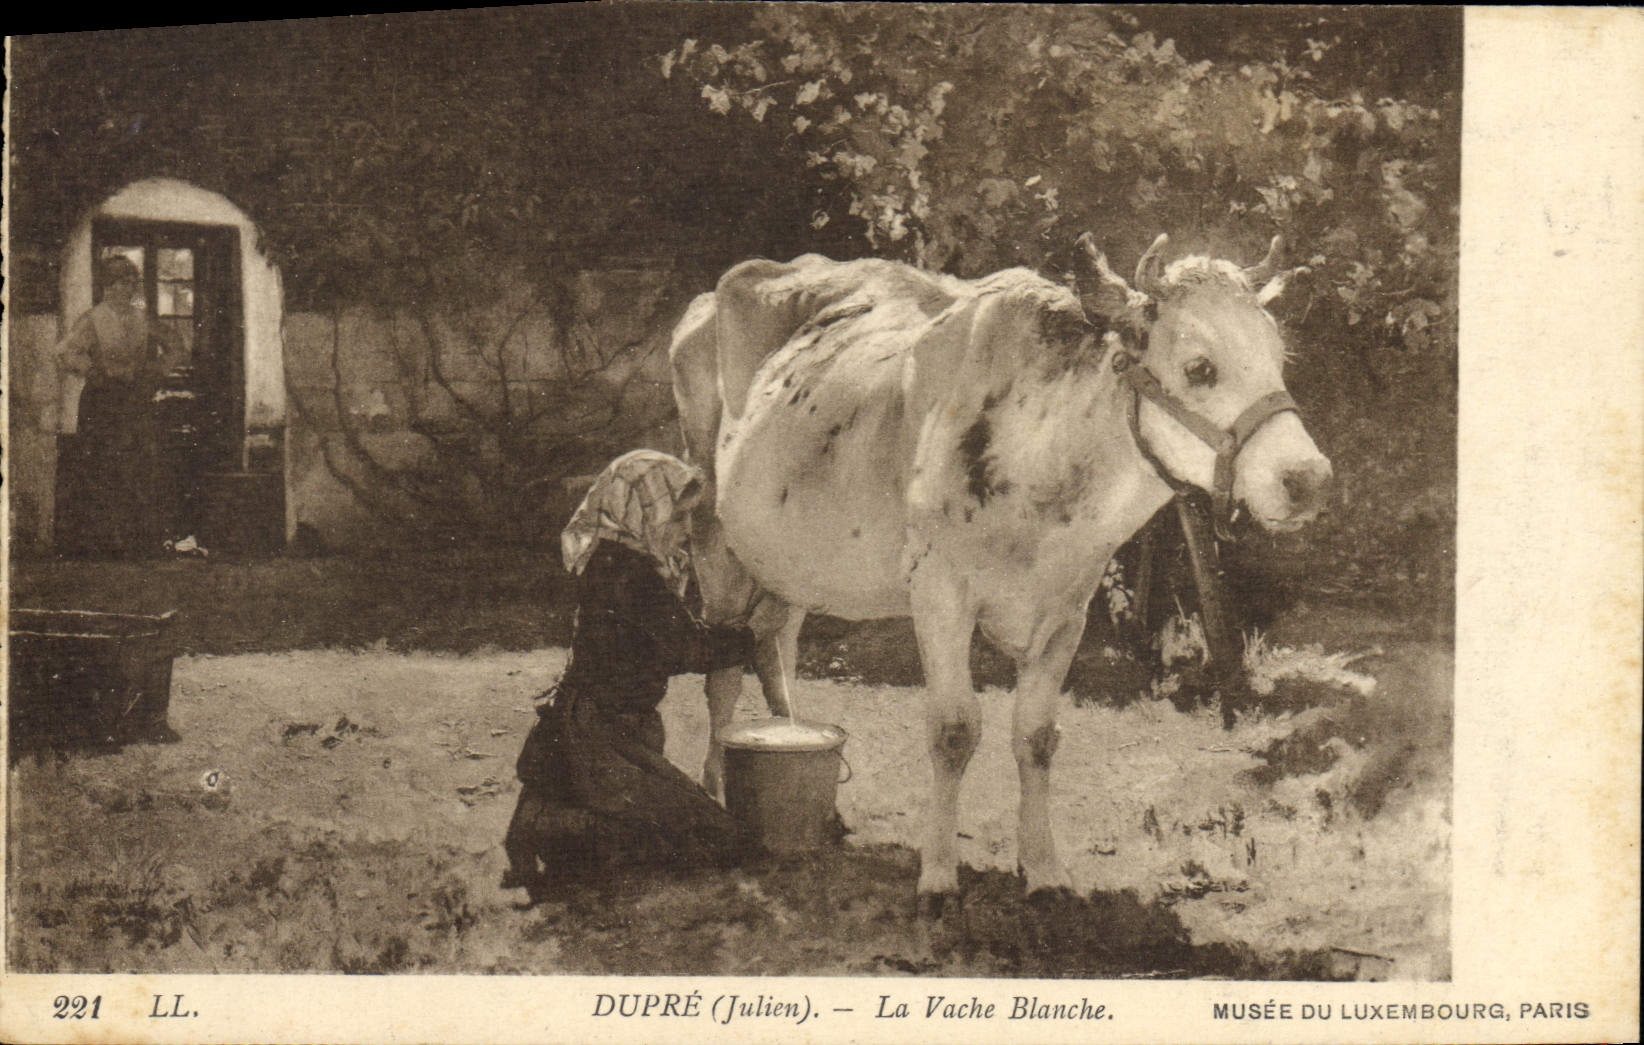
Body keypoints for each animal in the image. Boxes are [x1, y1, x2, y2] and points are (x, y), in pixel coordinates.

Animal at [669, 235, 1330, 906]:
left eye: (1279, 359)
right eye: (1200, 367)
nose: (1309, 478)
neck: (1043, 463)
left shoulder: (1067, 610)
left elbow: (1037, 736)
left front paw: (1043, 869)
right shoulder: (939, 595)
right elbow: (953, 730)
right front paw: (938, 875)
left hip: (792, 561)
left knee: (777, 649)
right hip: (714, 539)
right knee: (723, 673)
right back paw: (719, 789)